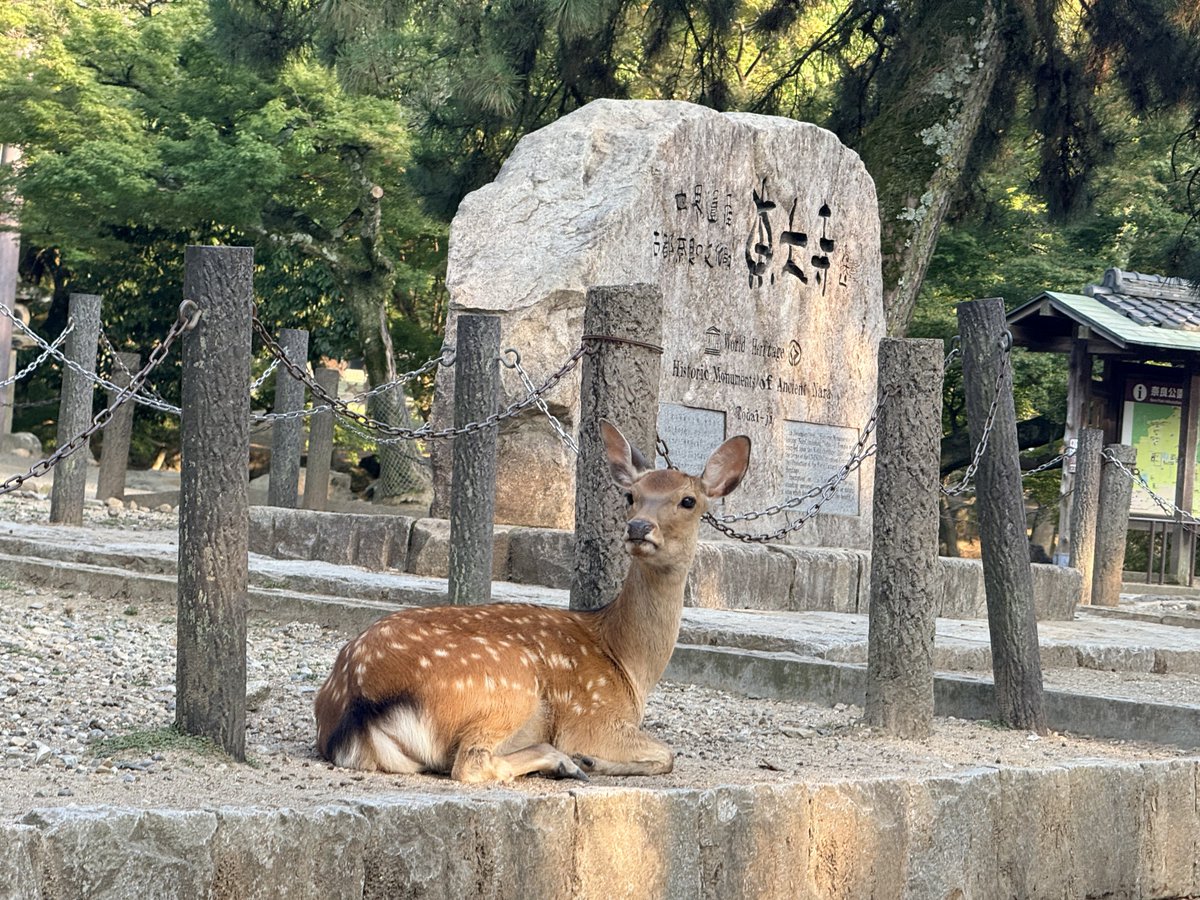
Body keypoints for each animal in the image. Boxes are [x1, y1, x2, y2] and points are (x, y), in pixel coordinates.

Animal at [313, 420, 751, 783]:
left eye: (688, 500)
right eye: (631, 495)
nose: (639, 527)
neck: (629, 666)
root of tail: (355, 705)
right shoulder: (593, 716)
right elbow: (667, 754)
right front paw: (592, 759)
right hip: (508, 681)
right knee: (471, 763)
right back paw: (565, 762)